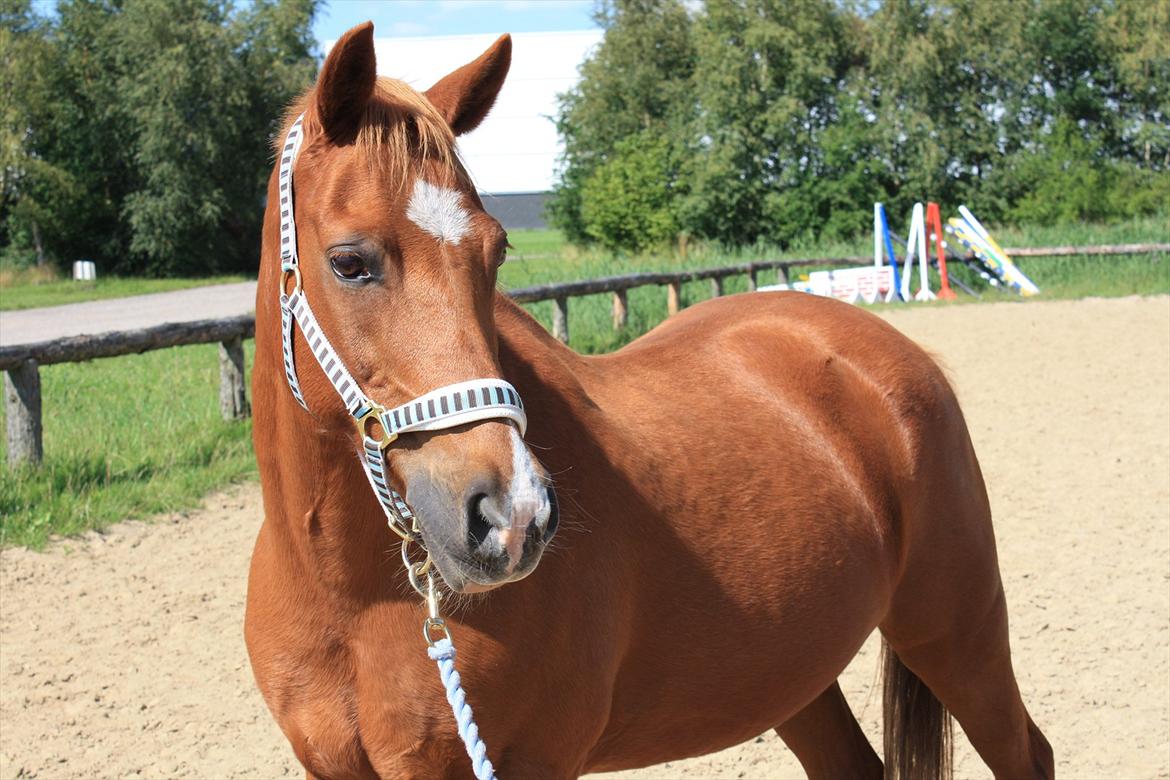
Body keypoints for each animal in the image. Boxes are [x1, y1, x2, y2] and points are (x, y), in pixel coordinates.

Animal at [244, 21, 1053, 776]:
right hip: (791, 669)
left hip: (957, 632)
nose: (514, 517)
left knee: (1027, 751)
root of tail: (887, 349)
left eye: (496, 251)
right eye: (349, 262)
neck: (350, 598)